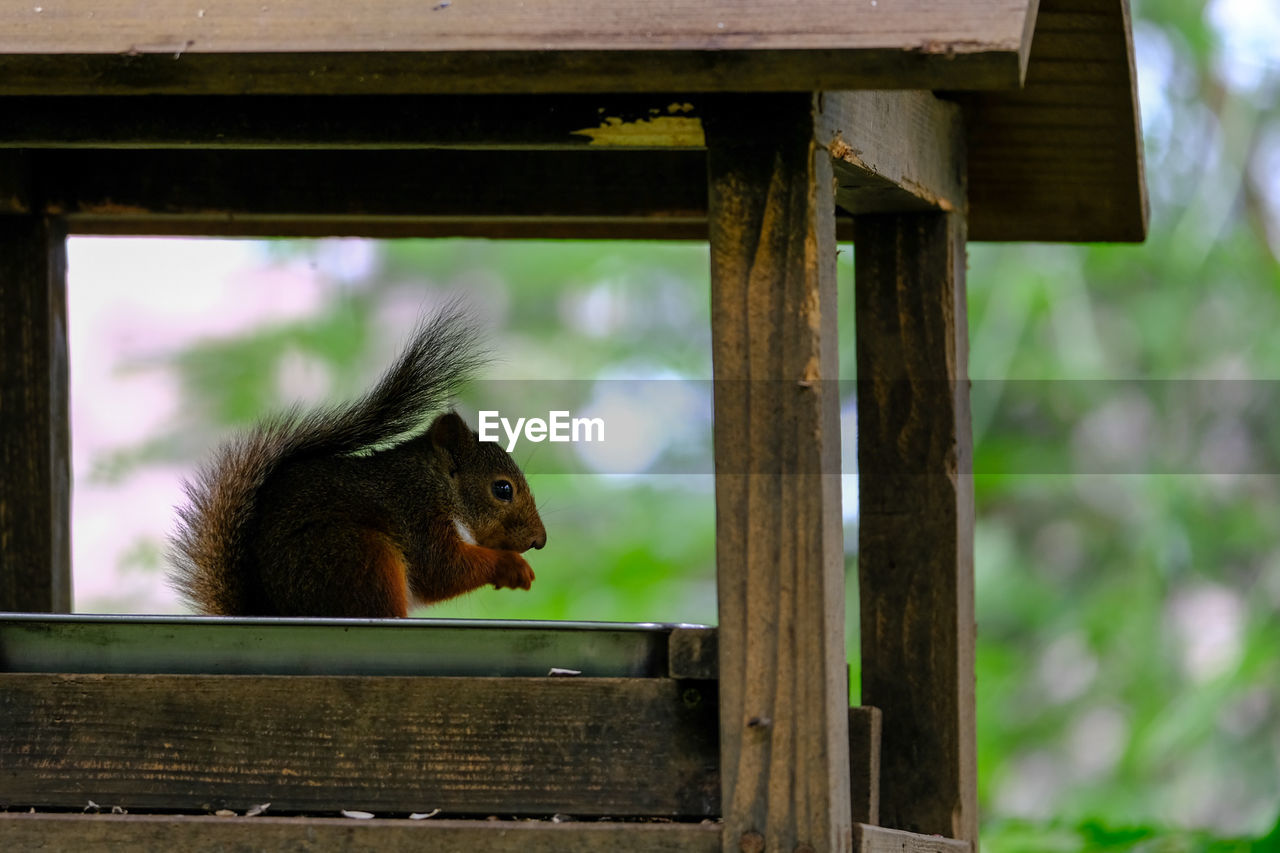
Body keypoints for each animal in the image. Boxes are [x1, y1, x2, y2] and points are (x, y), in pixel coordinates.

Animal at [166, 306, 545, 617]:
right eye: (502, 489)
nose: (539, 541)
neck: (437, 484)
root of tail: (265, 610)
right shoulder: (419, 514)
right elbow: (442, 570)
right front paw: (511, 566)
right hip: (360, 555)